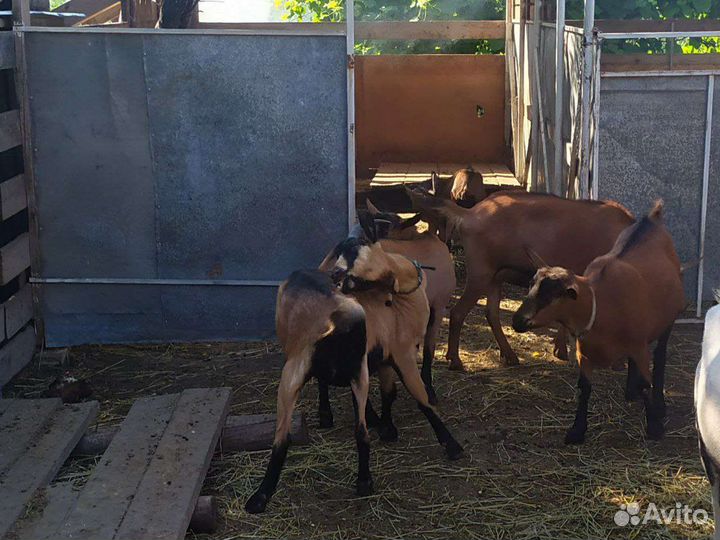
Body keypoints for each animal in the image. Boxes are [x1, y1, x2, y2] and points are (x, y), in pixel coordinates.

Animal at [245, 269, 371, 514]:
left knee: (281, 438)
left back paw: (259, 498)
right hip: (361, 375)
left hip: (291, 375)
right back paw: (364, 482)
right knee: (362, 432)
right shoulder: (359, 374)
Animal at [322, 232, 463, 459]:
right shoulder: (403, 353)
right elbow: (421, 396)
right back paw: (327, 415)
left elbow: (389, 392)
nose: (336, 275)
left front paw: (387, 427)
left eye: (356, 250)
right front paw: (452, 445)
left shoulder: (387, 356)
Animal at [407, 187, 635, 367]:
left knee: (491, 313)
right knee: (457, 312)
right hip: (481, 273)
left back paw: (510, 355)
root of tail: (470, 213)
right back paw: (455, 360)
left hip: (495, 277)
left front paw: (560, 350)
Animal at [512, 201, 684, 444]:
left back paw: (659, 405)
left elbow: (646, 383)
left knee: (660, 357)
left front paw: (654, 427)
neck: (599, 306)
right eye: (531, 285)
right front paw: (577, 430)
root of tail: (651, 219)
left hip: (668, 320)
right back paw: (630, 392)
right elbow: (584, 388)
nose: (517, 320)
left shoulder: (639, 346)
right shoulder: (584, 353)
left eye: (551, 295)